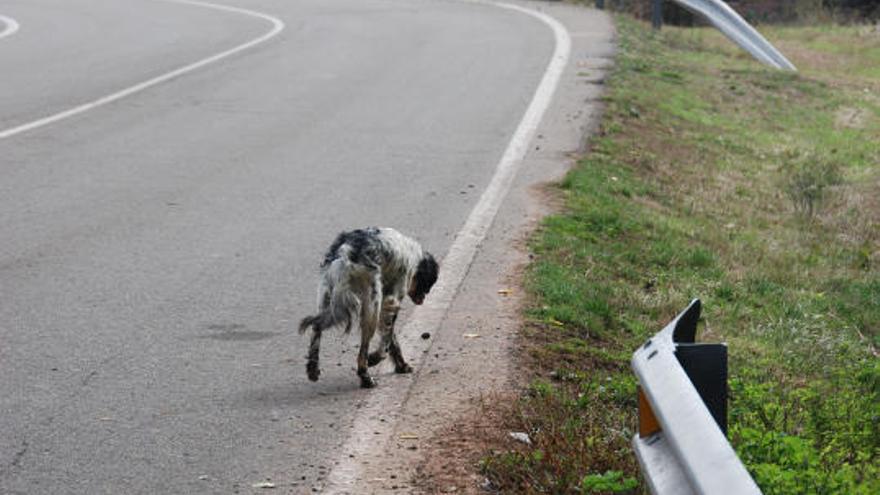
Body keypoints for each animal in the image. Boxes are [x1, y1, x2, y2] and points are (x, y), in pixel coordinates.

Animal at [300, 228, 440, 388]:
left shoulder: (385, 305)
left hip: (325, 297)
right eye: (428, 284)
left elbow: (391, 339)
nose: (424, 298)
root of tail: (344, 251)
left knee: (316, 329)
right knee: (362, 351)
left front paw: (402, 366)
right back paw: (366, 377)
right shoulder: (391, 301)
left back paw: (313, 369)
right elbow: (386, 341)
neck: (414, 255)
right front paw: (376, 358)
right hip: (371, 307)